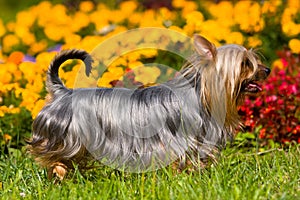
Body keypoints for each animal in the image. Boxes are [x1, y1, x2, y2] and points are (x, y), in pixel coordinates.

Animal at [28, 34, 270, 180]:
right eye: (245, 64)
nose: (267, 70)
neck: (202, 93)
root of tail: (62, 92)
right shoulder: (177, 141)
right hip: (66, 138)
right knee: (53, 157)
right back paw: (59, 173)